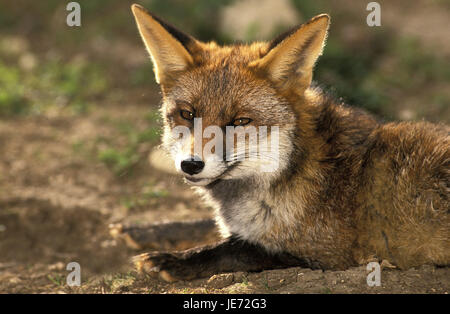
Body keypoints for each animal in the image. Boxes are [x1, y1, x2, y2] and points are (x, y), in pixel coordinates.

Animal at [127, 3, 450, 282]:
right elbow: (203, 224)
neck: (293, 169)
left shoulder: (326, 253)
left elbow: (233, 250)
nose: (191, 165)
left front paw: (173, 260)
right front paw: (142, 230)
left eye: (240, 121)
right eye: (187, 114)